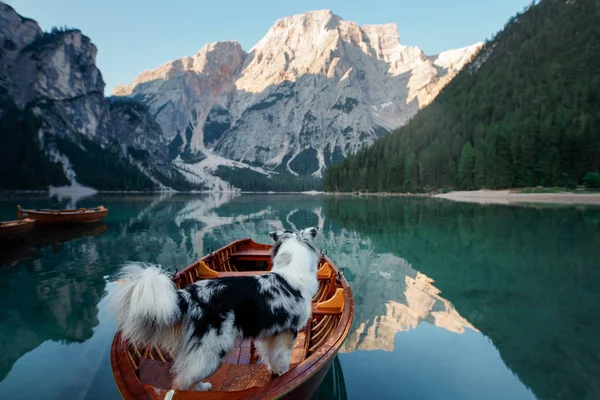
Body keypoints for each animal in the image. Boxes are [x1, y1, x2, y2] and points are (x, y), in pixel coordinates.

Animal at [109, 228, 322, 390]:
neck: (292, 271)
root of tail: (190, 296)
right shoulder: (289, 331)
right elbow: (283, 358)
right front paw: (284, 374)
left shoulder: (270, 333)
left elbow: (271, 357)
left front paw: (275, 372)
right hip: (213, 349)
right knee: (183, 381)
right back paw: (202, 388)